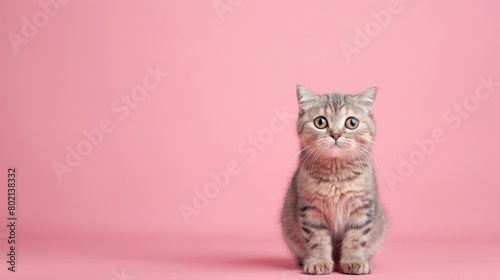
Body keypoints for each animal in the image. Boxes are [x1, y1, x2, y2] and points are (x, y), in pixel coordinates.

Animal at [282, 86, 386, 274]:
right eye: (320, 122)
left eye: (352, 123)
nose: (336, 135)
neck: (336, 175)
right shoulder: (310, 210)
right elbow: (317, 238)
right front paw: (319, 261)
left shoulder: (362, 209)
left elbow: (356, 237)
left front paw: (354, 261)